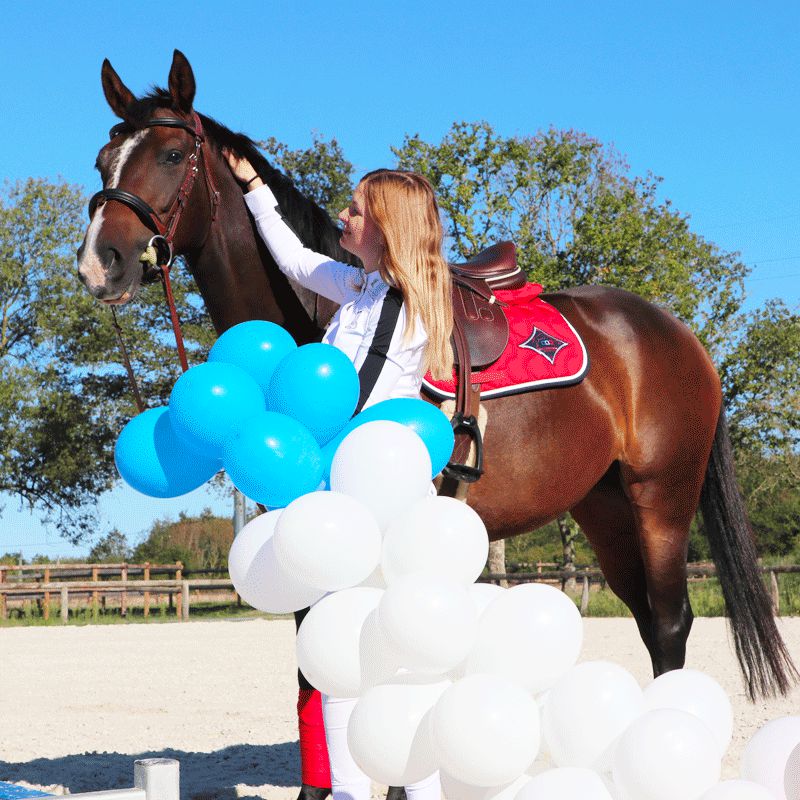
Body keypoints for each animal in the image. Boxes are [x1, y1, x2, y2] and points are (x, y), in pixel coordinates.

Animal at [76, 48, 792, 788]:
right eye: (103, 159)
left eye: (172, 153)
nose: (100, 262)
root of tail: (675, 333)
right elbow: (316, 668)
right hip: (605, 508)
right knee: (651, 623)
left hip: (661, 500)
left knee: (672, 623)